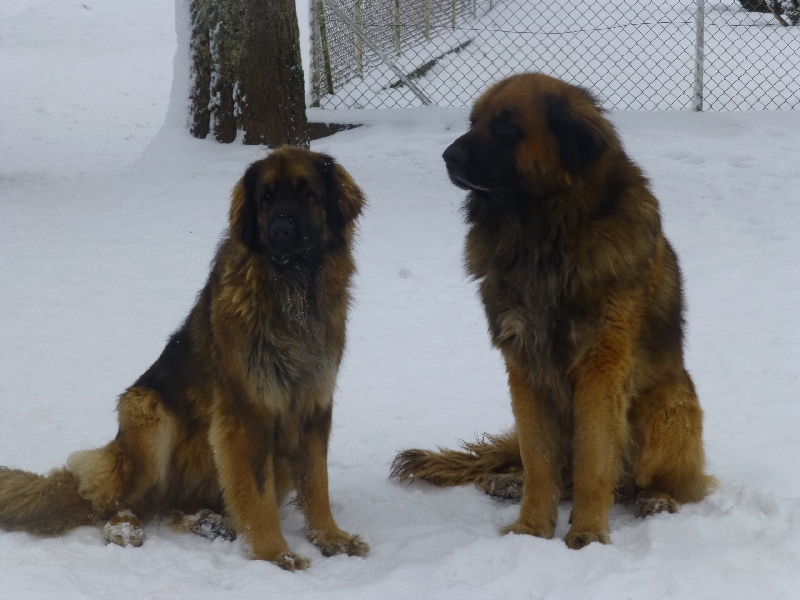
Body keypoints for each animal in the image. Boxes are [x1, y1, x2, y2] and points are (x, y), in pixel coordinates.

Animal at [0, 148, 368, 568]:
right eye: (266, 199)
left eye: (306, 193)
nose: (280, 232)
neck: (291, 293)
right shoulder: (247, 414)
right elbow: (258, 496)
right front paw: (275, 553)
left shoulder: (315, 408)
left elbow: (317, 483)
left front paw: (331, 538)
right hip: (148, 413)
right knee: (116, 500)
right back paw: (125, 528)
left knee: (179, 506)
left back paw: (212, 522)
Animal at [390, 74, 716, 548]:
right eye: (474, 121)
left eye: (506, 127)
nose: (448, 156)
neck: (541, 233)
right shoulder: (524, 364)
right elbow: (539, 461)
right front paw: (531, 528)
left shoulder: (600, 366)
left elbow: (594, 461)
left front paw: (588, 533)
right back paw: (508, 481)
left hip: (667, 404)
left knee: (671, 483)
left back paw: (657, 499)